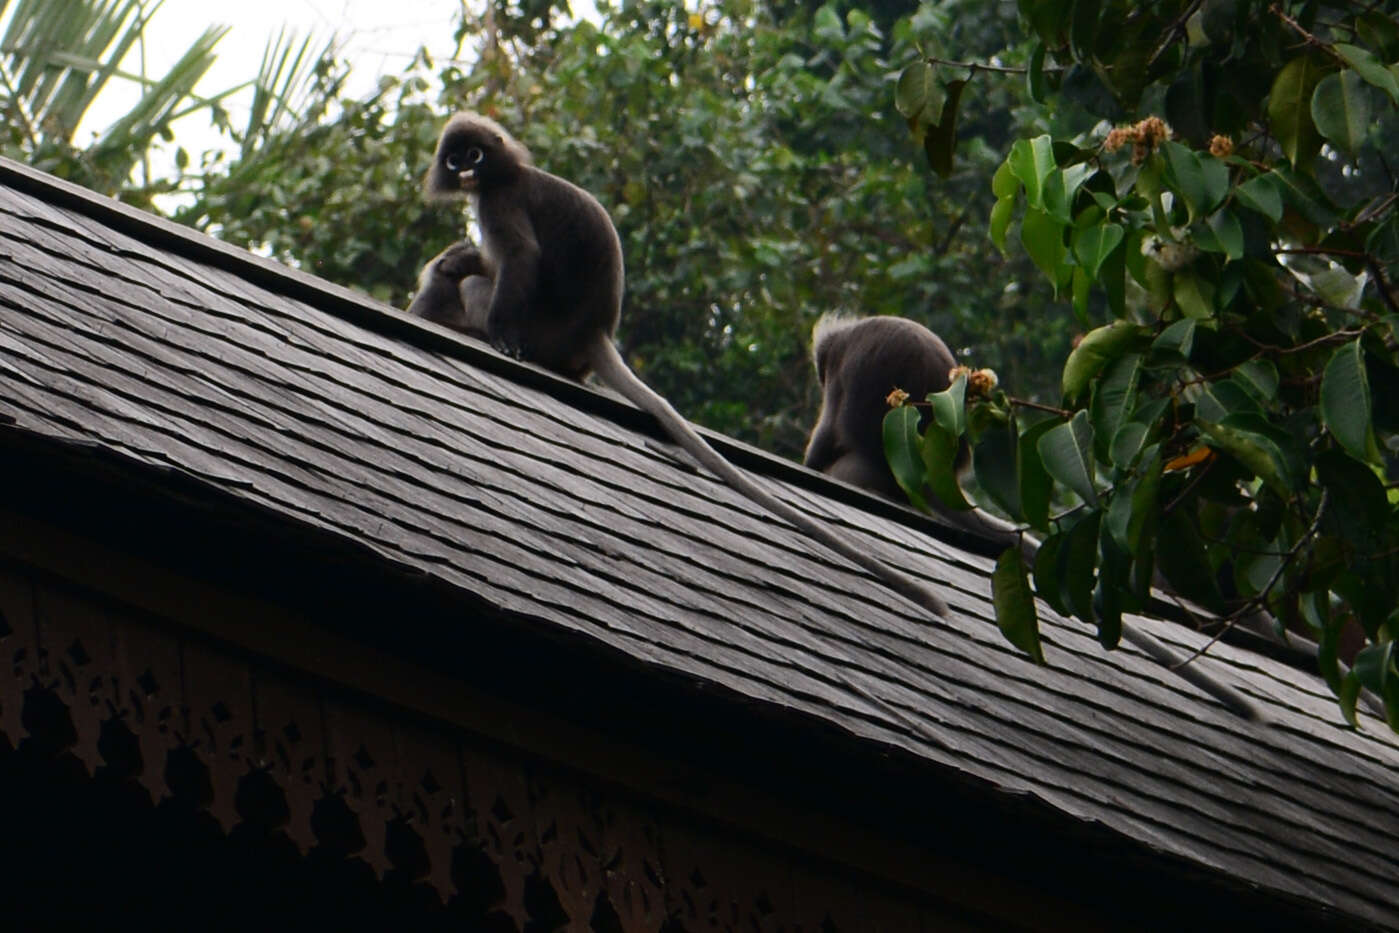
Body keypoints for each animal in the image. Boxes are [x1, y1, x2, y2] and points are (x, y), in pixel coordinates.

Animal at [405, 111, 951, 621]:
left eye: (475, 155)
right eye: (455, 159)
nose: (466, 171)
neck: (504, 173)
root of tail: (594, 333)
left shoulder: (500, 202)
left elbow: (520, 257)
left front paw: (499, 334)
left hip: (545, 332)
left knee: (482, 285)